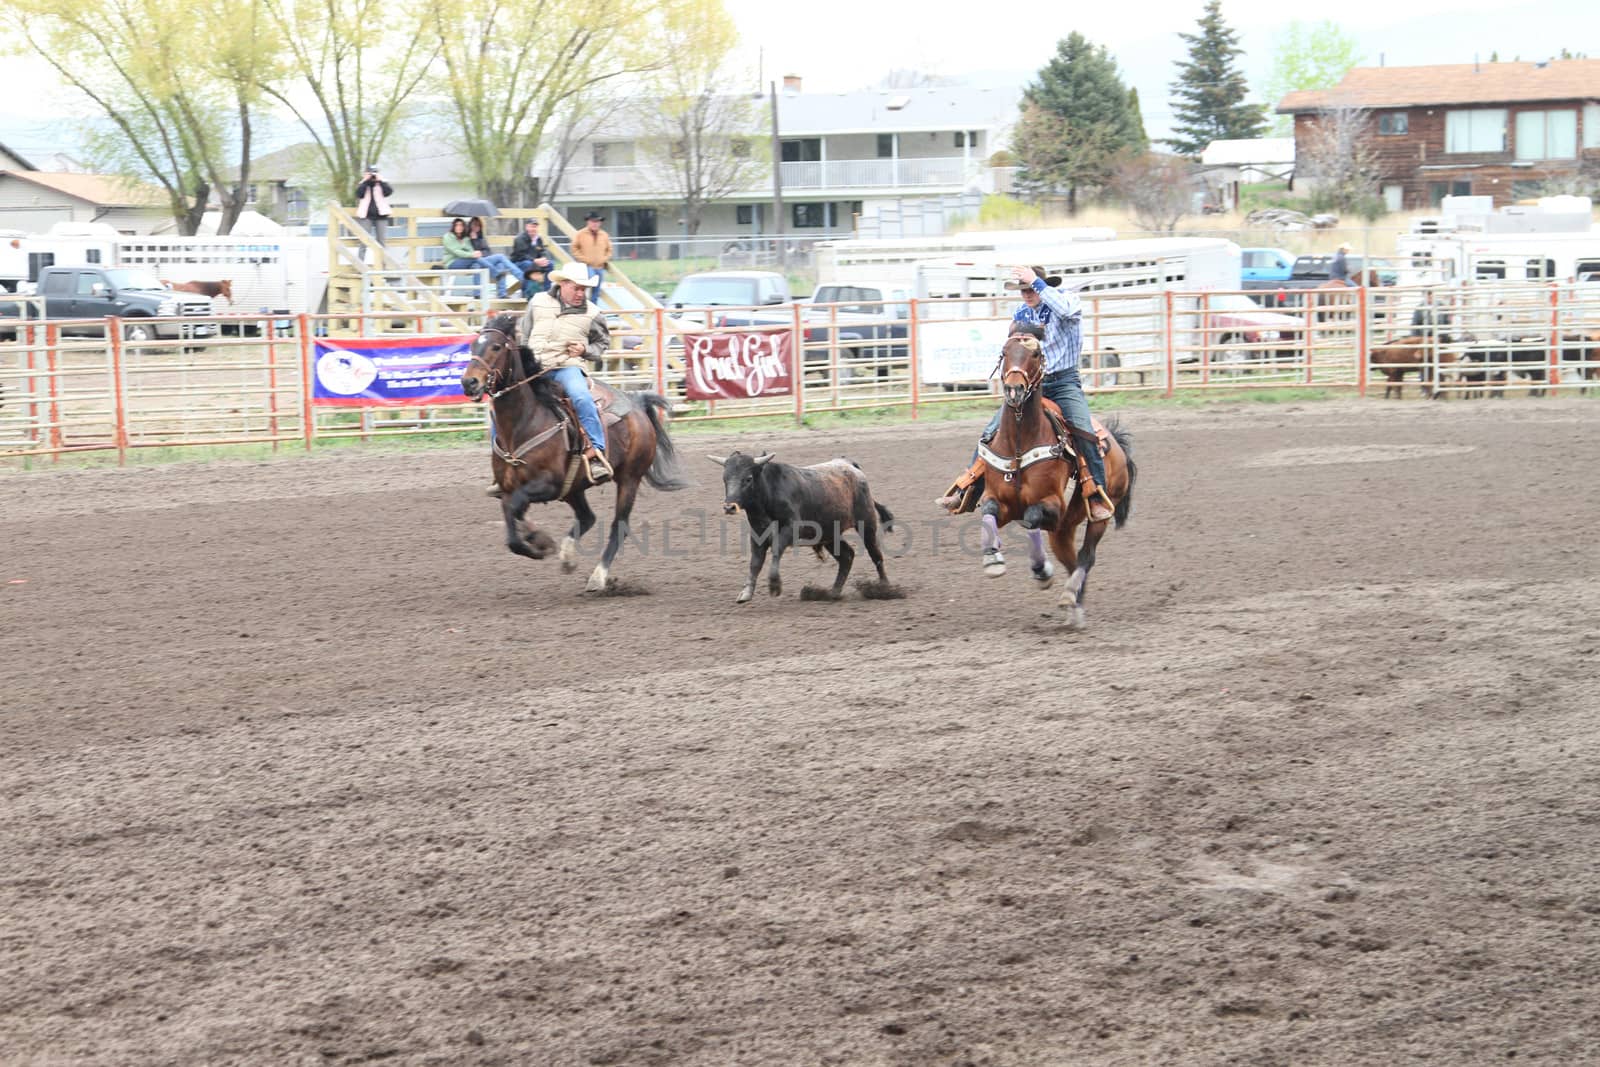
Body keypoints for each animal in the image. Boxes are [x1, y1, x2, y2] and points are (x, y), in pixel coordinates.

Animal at [972, 334, 1139, 630]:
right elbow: (989, 512)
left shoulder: (1052, 506)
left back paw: (1070, 594)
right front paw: (992, 559)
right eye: (1005, 352)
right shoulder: (1002, 503)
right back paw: (1074, 608)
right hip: (1062, 530)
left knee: (1086, 557)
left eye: (1036, 354)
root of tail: (1116, 444)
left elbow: (1031, 516)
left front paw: (1042, 571)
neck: (1019, 443)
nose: (1014, 389)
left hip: (1098, 516)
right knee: (1071, 561)